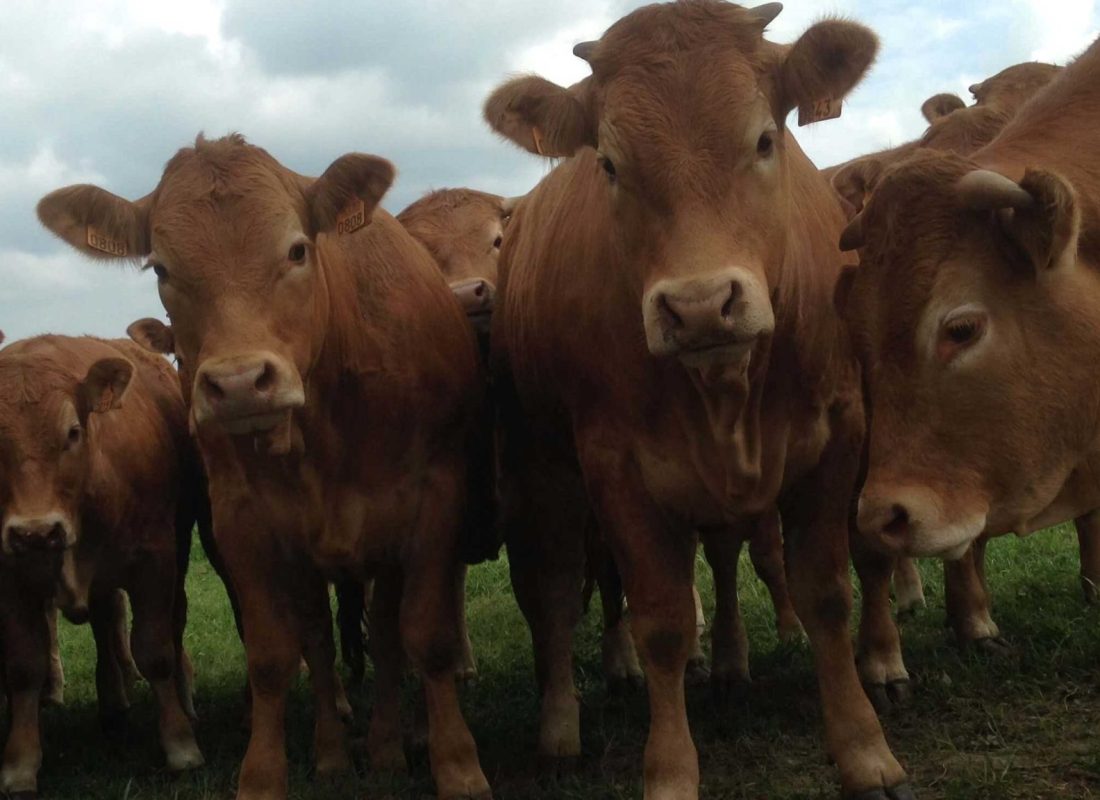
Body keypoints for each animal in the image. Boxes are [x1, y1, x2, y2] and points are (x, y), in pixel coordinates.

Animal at [0, 332, 202, 796]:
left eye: (72, 432)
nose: (36, 531)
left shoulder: (155, 561)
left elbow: (156, 651)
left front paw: (180, 745)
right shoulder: (11, 574)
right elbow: (22, 666)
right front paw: (20, 763)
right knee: (105, 622)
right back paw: (111, 704)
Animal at [37, 135, 490, 800]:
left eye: (297, 249)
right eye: (162, 269)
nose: (238, 384)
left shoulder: (434, 502)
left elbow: (426, 638)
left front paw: (458, 764)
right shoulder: (243, 525)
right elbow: (275, 655)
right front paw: (263, 775)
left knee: (384, 635)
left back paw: (384, 746)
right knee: (321, 639)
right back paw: (333, 752)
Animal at [481, 3, 910, 796]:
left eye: (766, 138)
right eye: (609, 165)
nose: (701, 306)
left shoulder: (837, 435)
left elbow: (826, 591)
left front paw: (865, 748)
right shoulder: (616, 467)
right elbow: (662, 622)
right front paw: (671, 770)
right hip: (540, 466)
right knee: (552, 592)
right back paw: (559, 729)